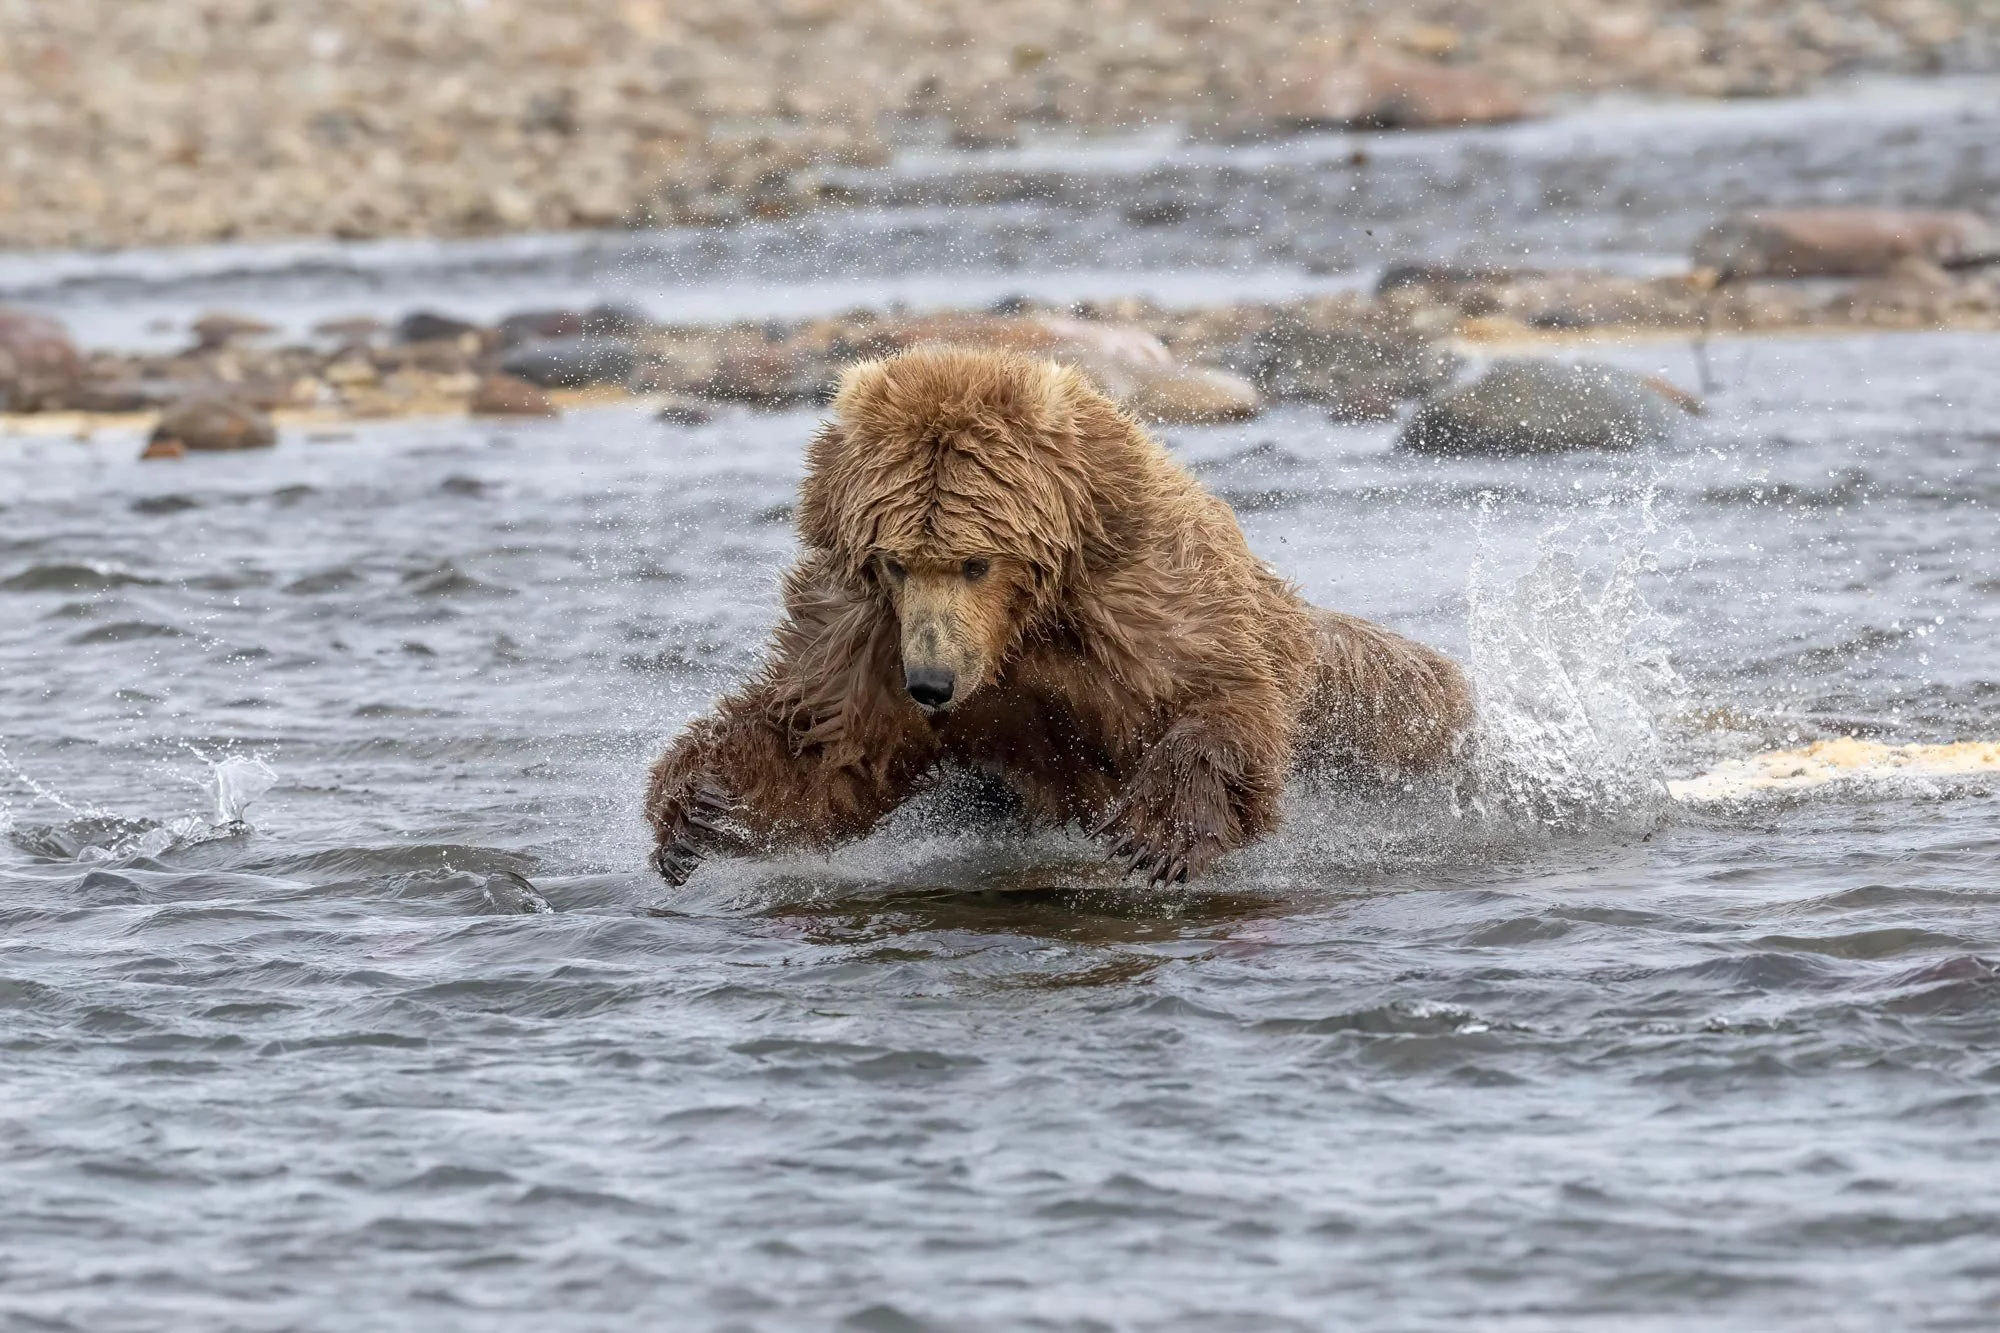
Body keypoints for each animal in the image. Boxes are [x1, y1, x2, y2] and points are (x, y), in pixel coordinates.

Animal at [646, 344, 1474, 886]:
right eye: (895, 561)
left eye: (977, 560)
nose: (933, 683)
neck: (1019, 629)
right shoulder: (867, 638)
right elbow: (824, 749)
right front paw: (704, 808)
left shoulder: (1140, 602)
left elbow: (1219, 696)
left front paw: (1157, 836)